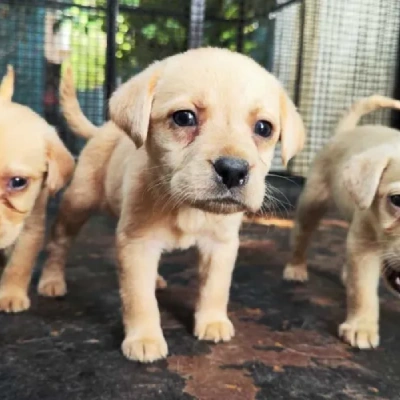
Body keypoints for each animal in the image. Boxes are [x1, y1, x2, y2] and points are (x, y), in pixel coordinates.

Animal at [40, 47, 304, 362]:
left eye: (264, 128)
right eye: (184, 117)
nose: (233, 170)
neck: (187, 207)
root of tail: (103, 129)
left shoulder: (221, 245)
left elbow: (215, 287)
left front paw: (212, 321)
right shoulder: (136, 243)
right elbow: (139, 299)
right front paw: (144, 338)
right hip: (78, 202)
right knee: (60, 241)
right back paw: (51, 280)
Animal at [284, 94, 400, 350]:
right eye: (397, 200)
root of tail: (347, 131)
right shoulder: (364, 245)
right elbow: (363, 291)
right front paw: (361, 328)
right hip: (312, 202)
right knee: (301, 237)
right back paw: (295, 269)